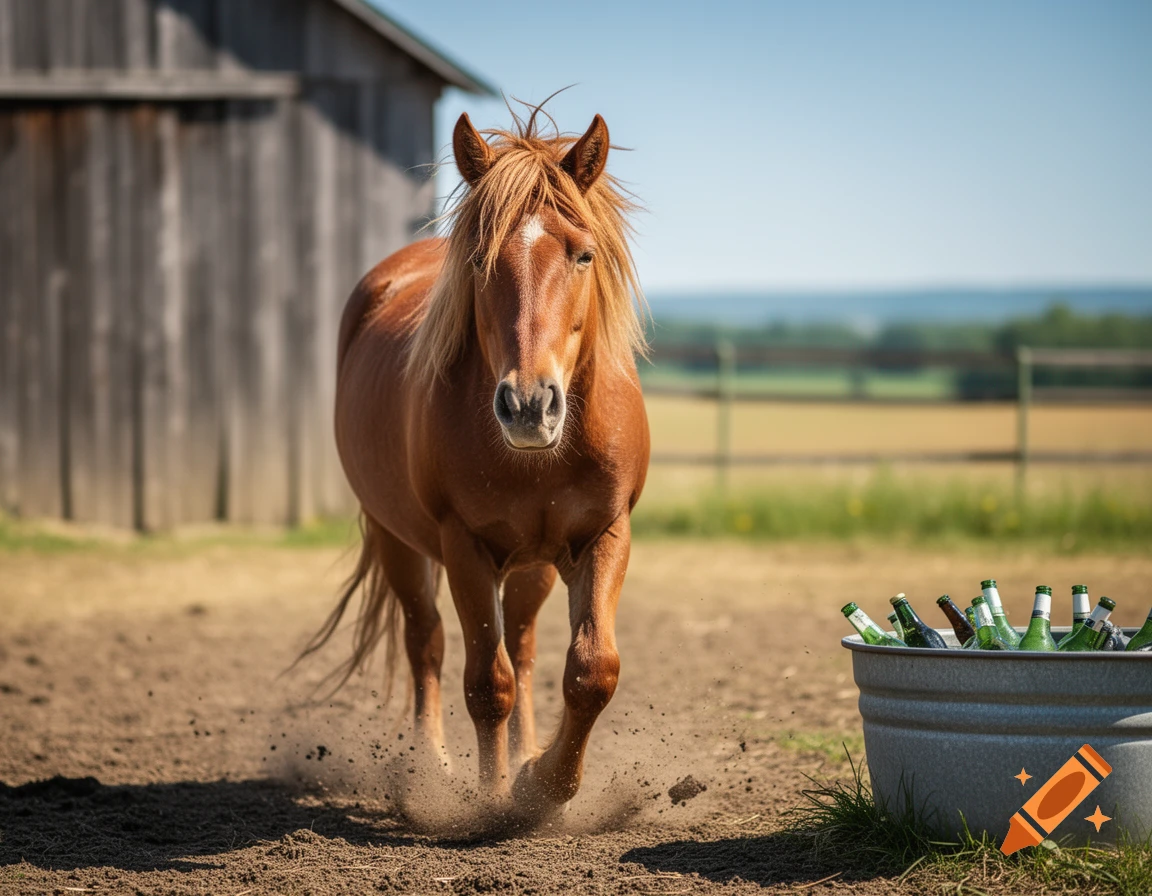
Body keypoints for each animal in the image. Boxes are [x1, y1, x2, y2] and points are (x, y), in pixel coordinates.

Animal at [304, 109, 650, 813]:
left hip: (533, 562)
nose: (528, 406)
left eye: (582, 254)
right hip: (397, 540)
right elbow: (487, 683)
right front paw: (494, 799)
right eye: (477, 260)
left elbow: (590, 669)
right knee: (427, 642)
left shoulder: (606, 534)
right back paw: (432, 769)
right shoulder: (462, 546)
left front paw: (543, 783)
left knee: (522, 645)